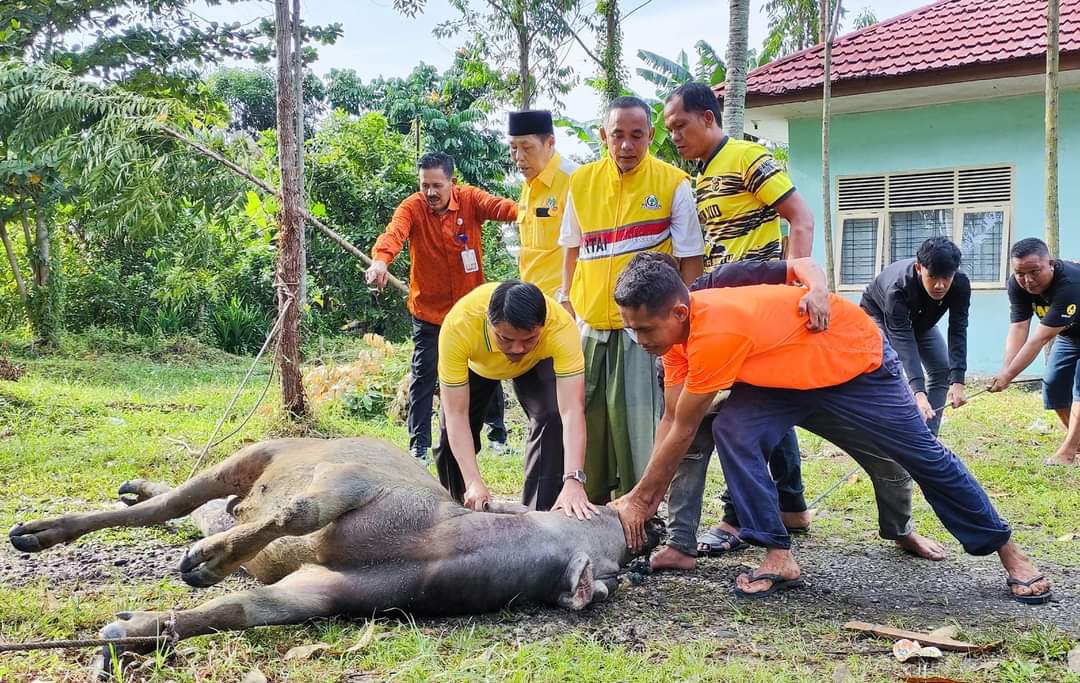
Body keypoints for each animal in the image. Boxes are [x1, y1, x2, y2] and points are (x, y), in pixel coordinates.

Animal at [8, 440, 660, 670]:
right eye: (598, 509)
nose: (650, 531)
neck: (432, 548)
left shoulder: (317, 593)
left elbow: (237, 613)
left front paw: (129, 635)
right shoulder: (350, 482)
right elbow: (299, 513)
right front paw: (208, 563)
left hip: (233, 493)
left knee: (185, 511)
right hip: (251, 456)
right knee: (168, 509)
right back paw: (39, 532)